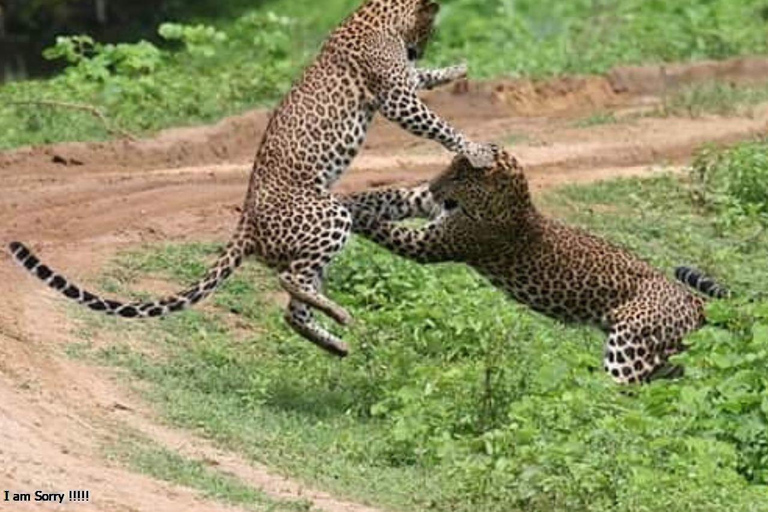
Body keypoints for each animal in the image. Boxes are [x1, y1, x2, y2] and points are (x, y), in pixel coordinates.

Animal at [9, 0, 496, 356]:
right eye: (427, 32)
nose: (421, 49)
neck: (377, 12)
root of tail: (245, 224)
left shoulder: (401, 83)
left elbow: (424, 81)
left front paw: (456, 70)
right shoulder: (395, 97)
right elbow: (437, 123)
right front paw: (475, 149)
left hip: (314, 241)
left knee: (293, 309)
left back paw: (335, 341)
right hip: (329, 216)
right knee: (291, 284)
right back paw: (340, 319)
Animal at [344, 149, 732, 384]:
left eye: (458, 176)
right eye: (448, 170)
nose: (434, 184)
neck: (512, 201)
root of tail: (691, 298)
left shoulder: (436, 242)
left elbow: (383, 226)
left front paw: (349, 211)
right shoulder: (430, 208)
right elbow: (390, 197)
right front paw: (345, 196)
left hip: (630, 342)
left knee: (620, 389)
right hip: (661, 352)